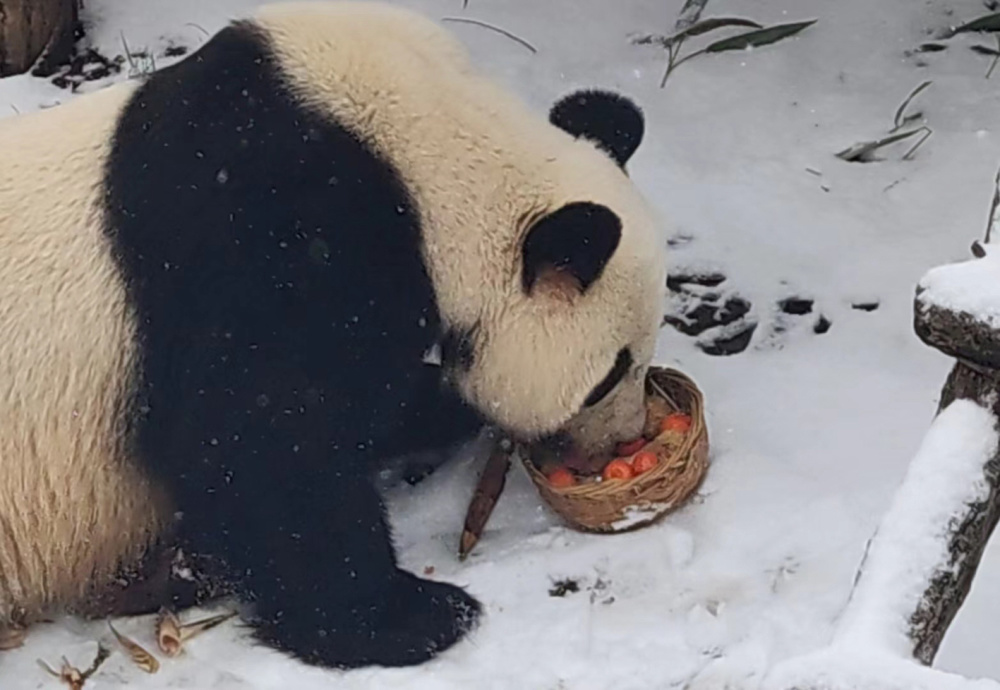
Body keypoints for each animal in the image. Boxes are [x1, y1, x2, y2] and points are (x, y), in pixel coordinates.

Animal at [0, 0, 664, 668]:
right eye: (608, 376)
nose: (623, 441)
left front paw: (438, 409)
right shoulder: (269, 234)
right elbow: (260, 433)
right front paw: (409, 617)